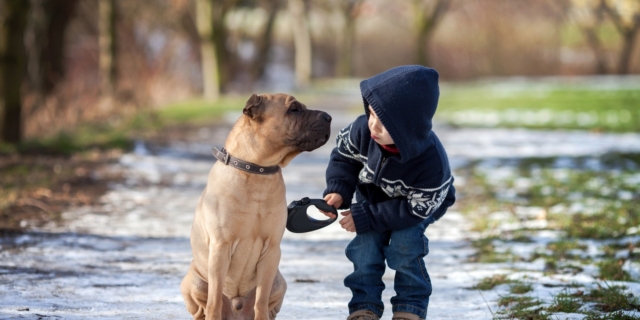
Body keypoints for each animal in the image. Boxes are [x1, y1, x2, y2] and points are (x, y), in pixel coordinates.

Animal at [180, 93, 330, 320]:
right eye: (294, 109)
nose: (328, 117)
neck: (257, 170)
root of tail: (236, 309)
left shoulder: (271, 250)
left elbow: (261, 299)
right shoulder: (220, 247)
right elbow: (214, 300)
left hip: (279, 282)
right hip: (194, 282)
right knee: (204, 306)